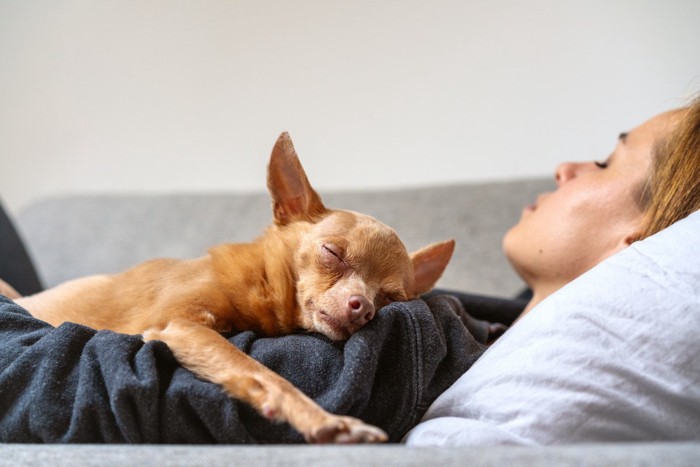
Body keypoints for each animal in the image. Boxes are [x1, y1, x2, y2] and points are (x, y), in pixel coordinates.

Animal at [15, 133, 460, 444]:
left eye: (390, 298)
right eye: (332, 253)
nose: (363, 307)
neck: (260, 284)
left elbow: (251, 371)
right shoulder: (180, 325)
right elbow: (262, 373)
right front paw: (326, 422)